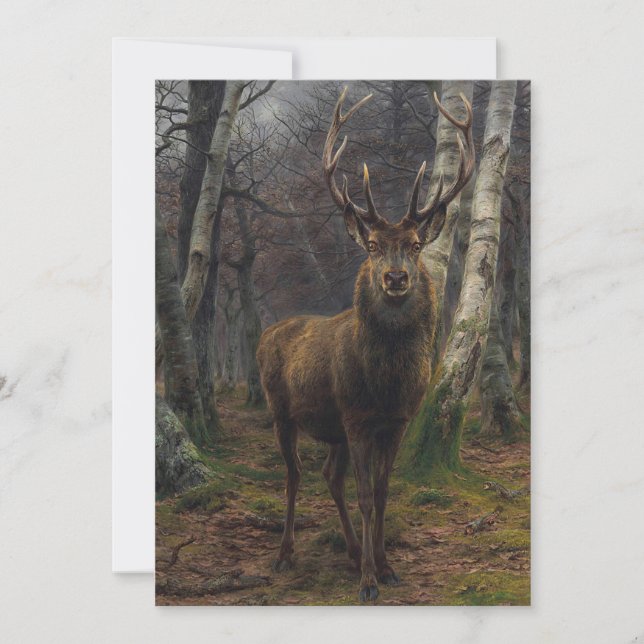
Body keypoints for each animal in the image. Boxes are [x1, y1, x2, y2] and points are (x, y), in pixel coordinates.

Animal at [256, 87, 475, 602]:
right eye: (373, 245)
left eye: (415, 244)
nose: (394, 277)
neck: (386, 384)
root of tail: (268, 332)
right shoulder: (356, 417)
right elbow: (363, 495)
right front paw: (369, 583)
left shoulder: (394, 421)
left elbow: (380, 492)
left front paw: (386, 566)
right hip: (281, 409)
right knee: (295, 474)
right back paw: (284, 554)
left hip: (331, 425)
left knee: (327, 476)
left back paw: (354, 553)